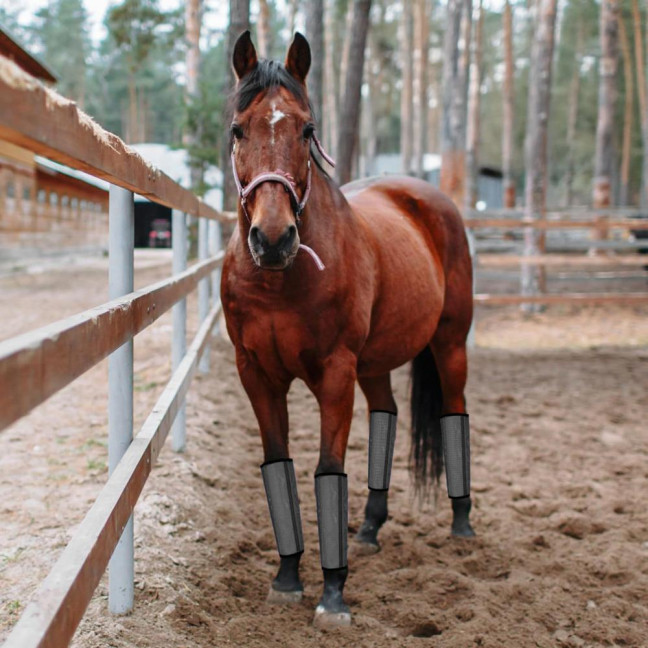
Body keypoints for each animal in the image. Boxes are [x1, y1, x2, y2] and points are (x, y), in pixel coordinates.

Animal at [221, 31, 475, 628]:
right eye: (238, 129)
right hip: (375, 364)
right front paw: (287, 578)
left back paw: (461, 522)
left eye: (306, 129)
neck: (280, 280)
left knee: (455, 413)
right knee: (387, 414)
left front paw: (332, 594)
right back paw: (370, 527)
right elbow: (279, 466)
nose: (272, 239)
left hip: (450, 345)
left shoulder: (335, 374)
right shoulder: (257, 375)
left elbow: (327, 471)